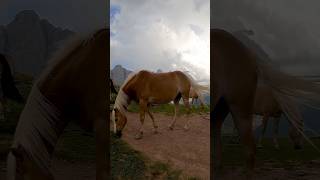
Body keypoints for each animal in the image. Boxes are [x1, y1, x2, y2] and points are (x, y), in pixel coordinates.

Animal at [212, 28, 320, 179]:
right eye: (299, 131)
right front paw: (262, 144)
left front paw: (276, 145)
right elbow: (264, 129)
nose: (298, 147)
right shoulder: (266, 114)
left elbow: (274, 130)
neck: (277, 98)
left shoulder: (276, 116)